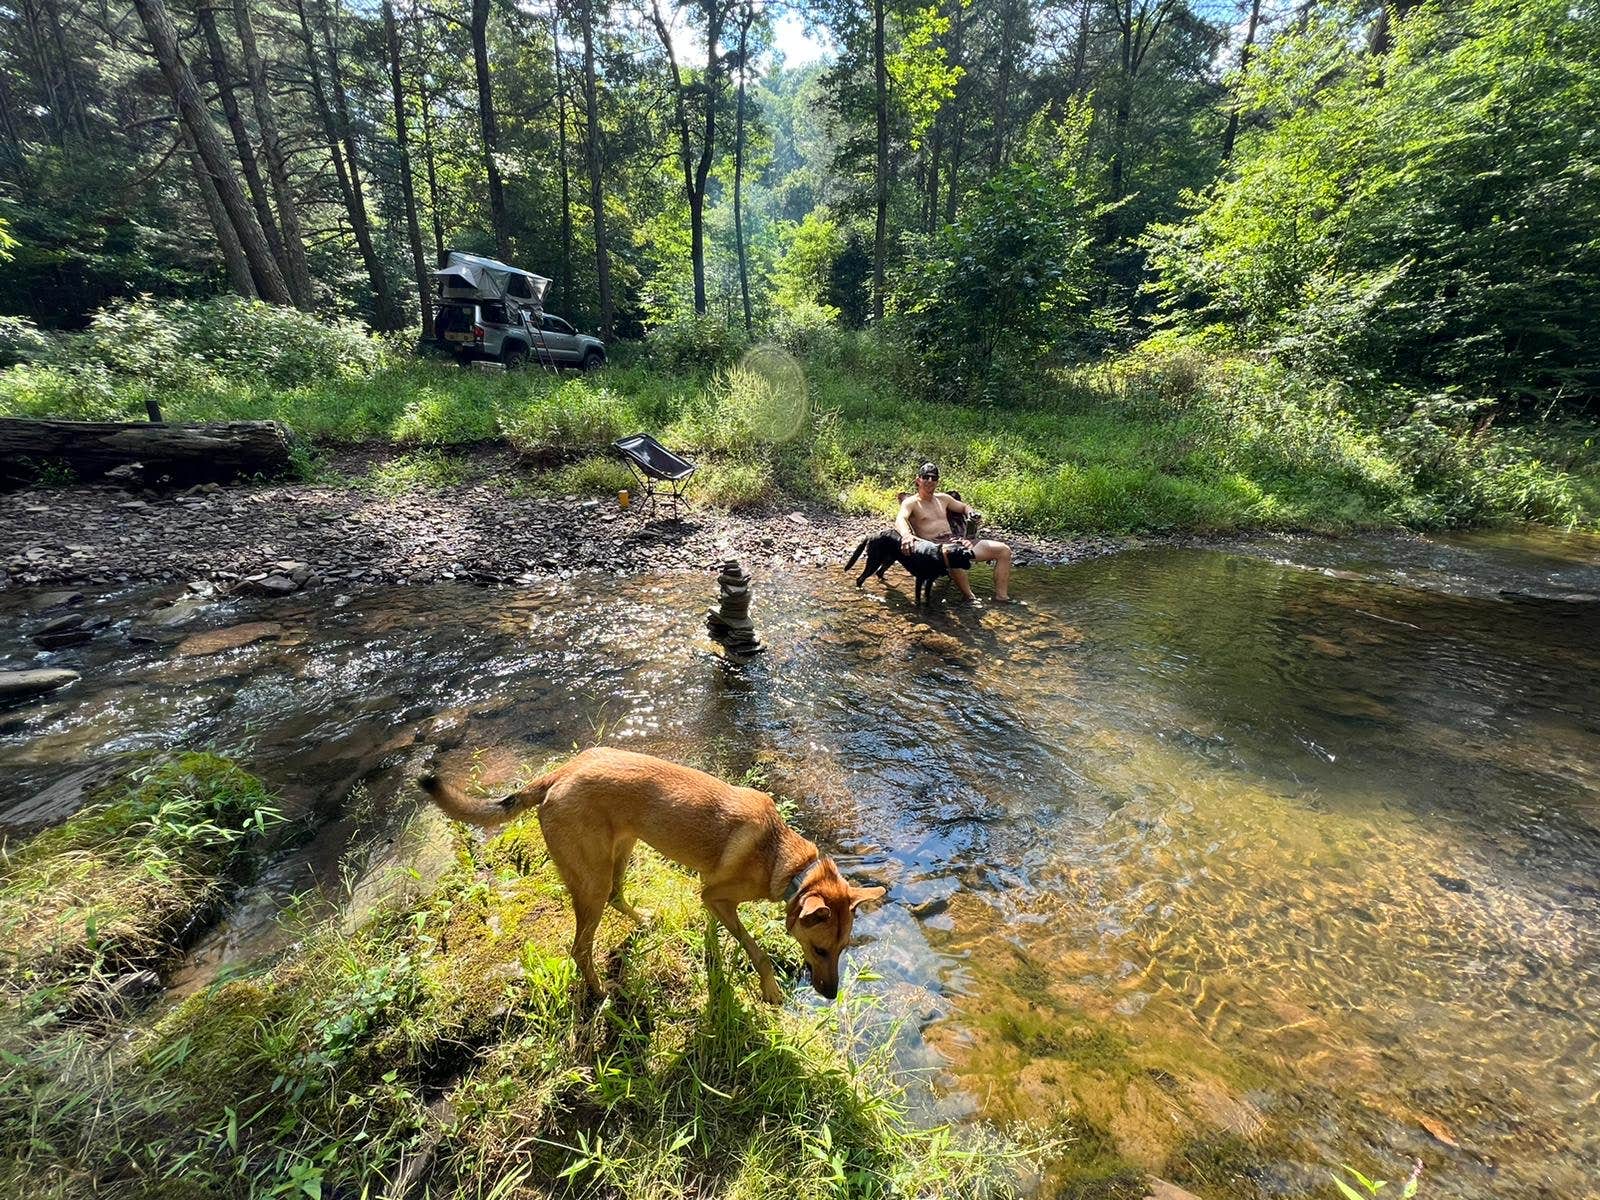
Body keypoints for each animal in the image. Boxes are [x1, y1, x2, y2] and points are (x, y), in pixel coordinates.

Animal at [416, 752, 889, 1004]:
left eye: (844, 949)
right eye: (819, 949)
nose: (830, 996)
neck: (784, 860)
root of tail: (558, 774)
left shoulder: (708, 894)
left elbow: (715, 931)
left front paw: (713, 961)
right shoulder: (720, 896)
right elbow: (755, 949)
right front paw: (770, 988)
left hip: (620, 854)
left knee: (615, 898)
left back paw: (641, 921)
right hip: (591, 881)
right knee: (579, 948)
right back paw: (601, 994)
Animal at [838, 531, 972, 604]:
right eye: (966, 558)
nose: (970, 565)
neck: (941, 555)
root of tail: (872, 535)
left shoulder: (929, 580)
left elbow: (927, 596)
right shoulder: (920, 579)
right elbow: (918, 596)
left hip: (889, 560)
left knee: (879, 573)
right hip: (874, 561)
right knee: (860, 578)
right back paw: (860, 589)